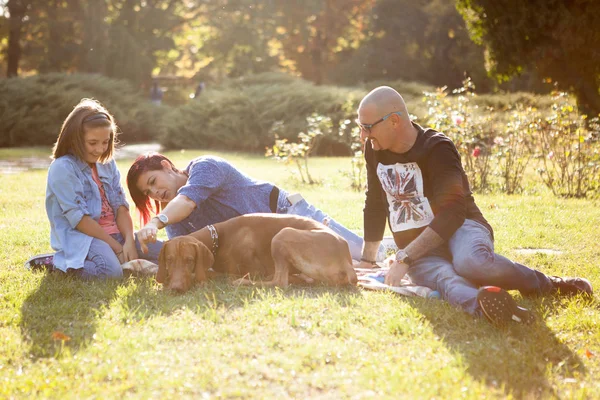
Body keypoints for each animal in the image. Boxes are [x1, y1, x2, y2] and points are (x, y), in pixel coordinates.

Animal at [157, 212, 358, 294]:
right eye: (169, 260)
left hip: (282, 234)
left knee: (279, 282)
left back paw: (243, 282)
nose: (175, 288)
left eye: (190, 260)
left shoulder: (252, 269)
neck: (217, 237)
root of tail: (347, 260)